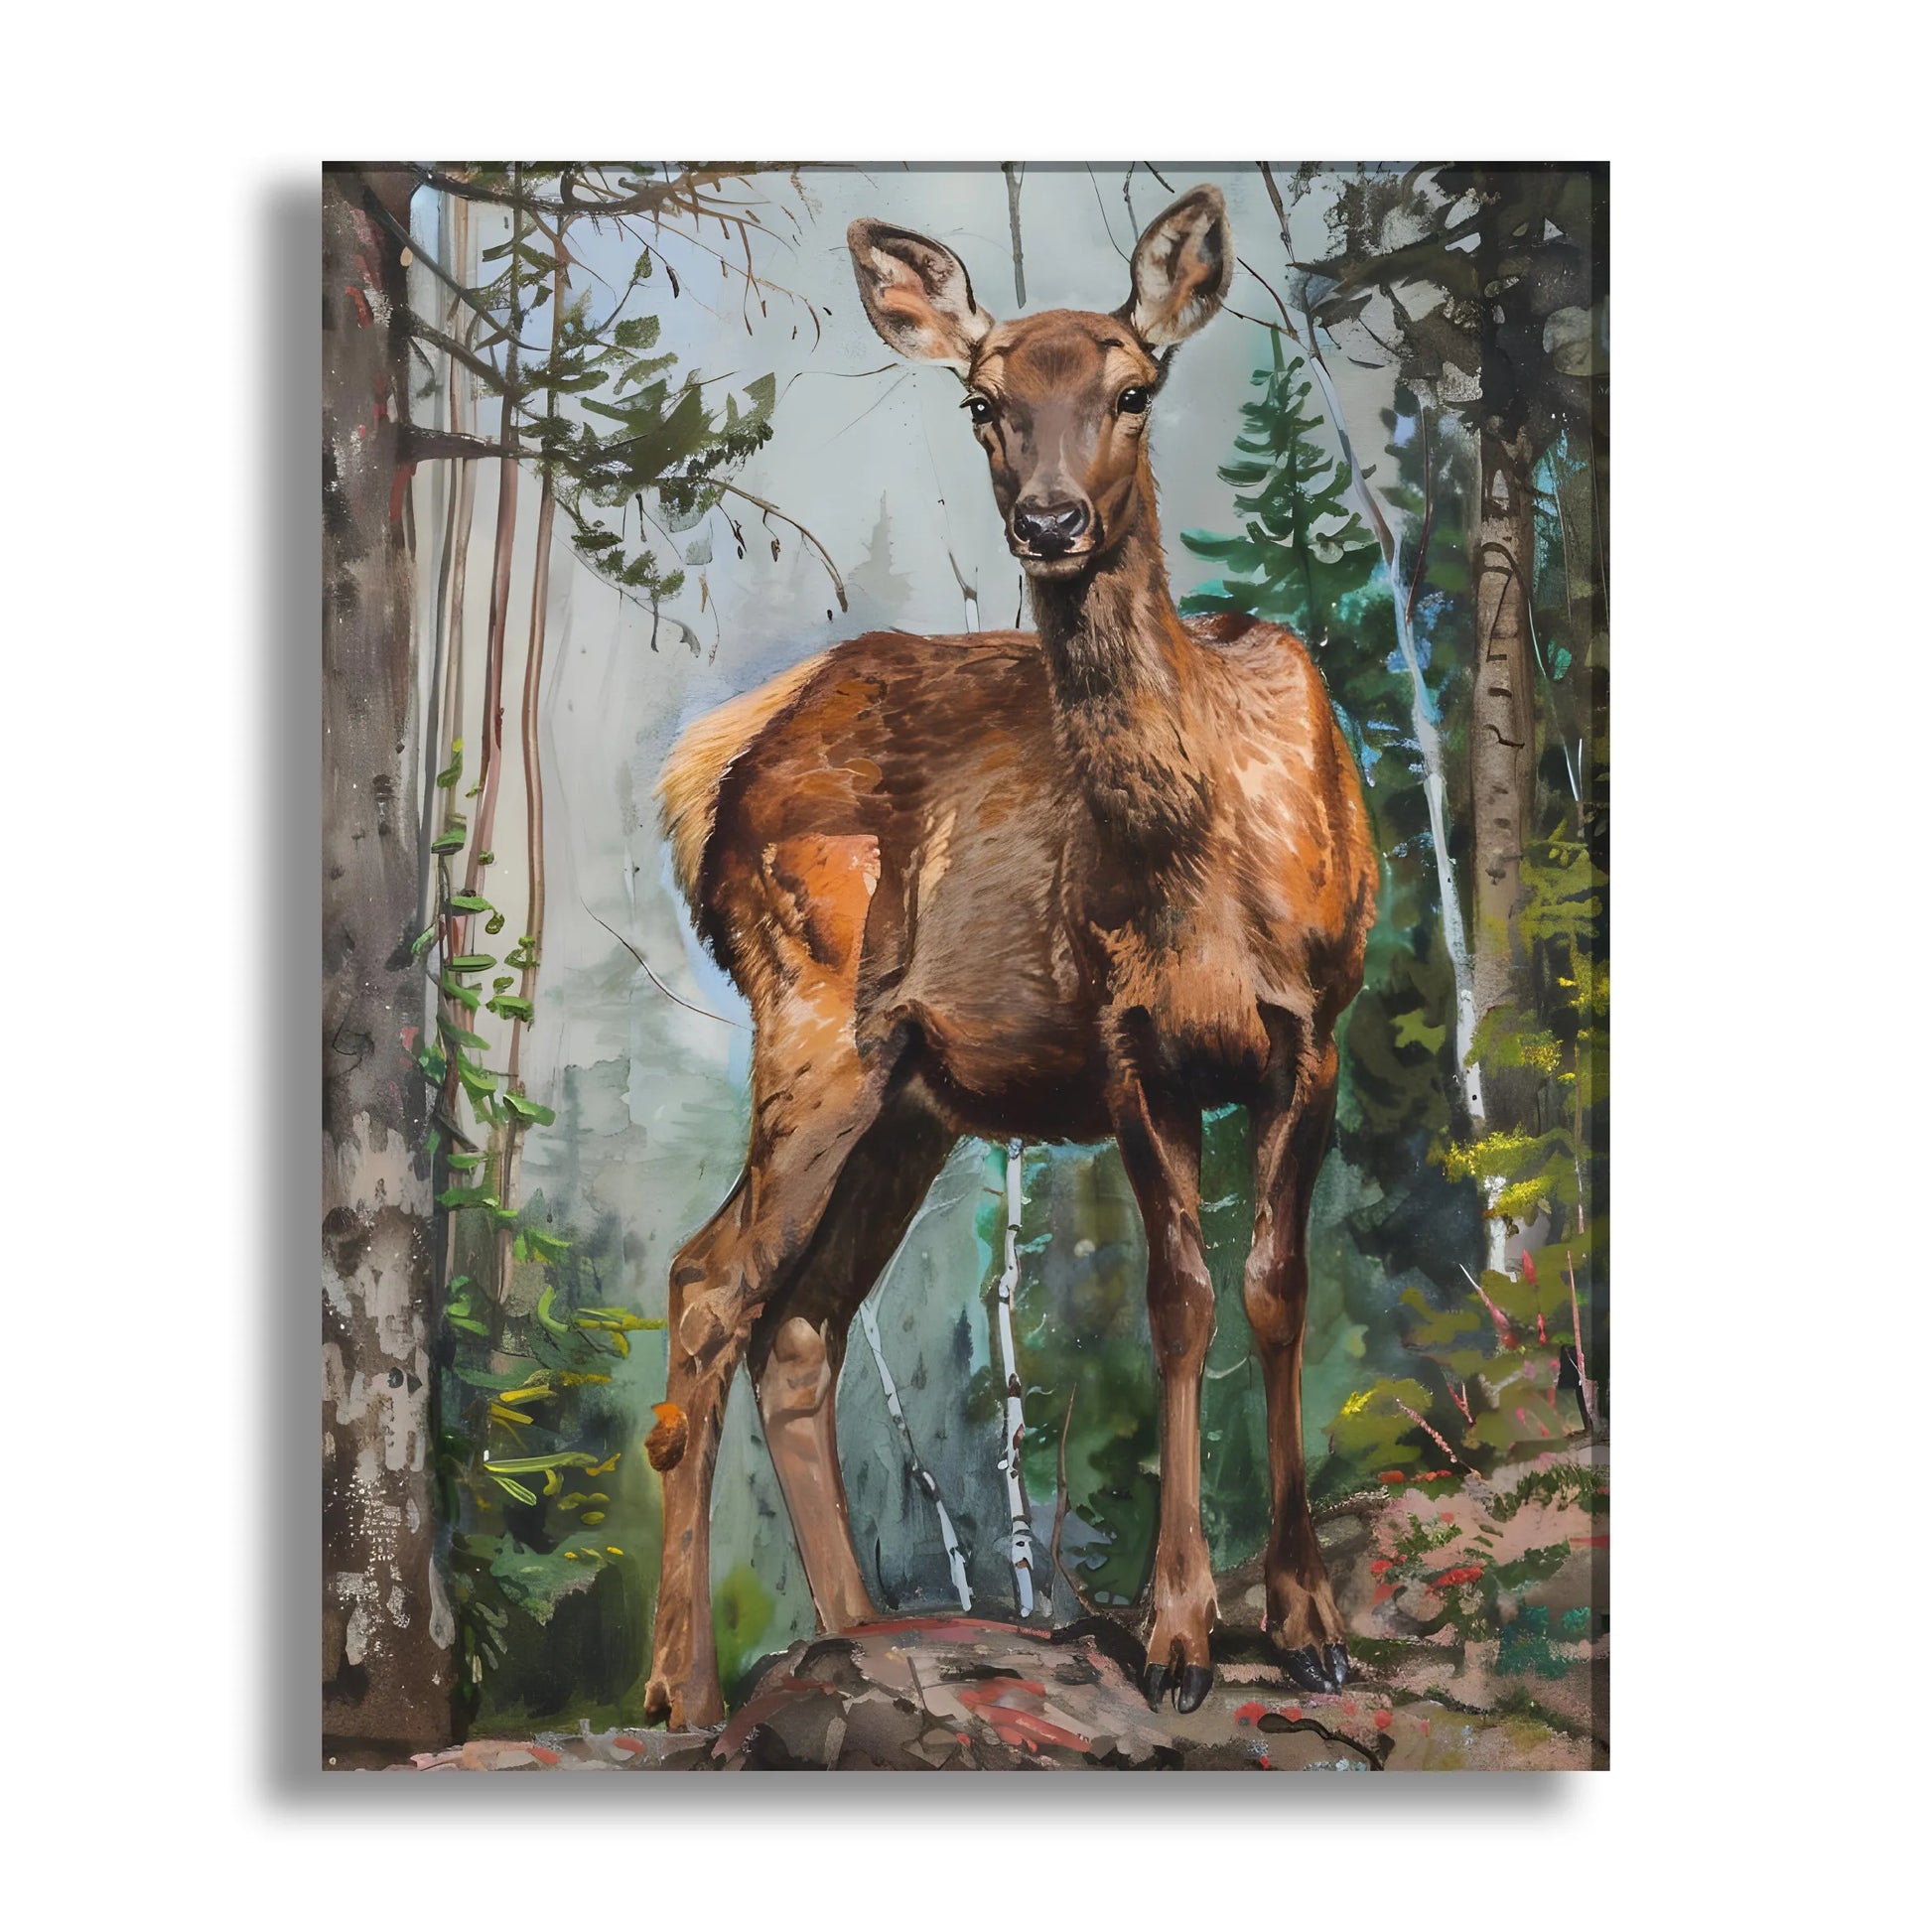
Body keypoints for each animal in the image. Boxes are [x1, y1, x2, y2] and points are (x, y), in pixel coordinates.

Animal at [641, 183, 1377, 1731]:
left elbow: (1276, 1291)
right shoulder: (1127, 1040)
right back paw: (680, 1684)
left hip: (912, 1098)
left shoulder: (1312, 1026)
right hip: (811, 1019)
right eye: (982, 401)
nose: (1048, 520)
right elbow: (1179, 1300)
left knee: (800, 1328)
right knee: (710, 1284)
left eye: (1133, 386)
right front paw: (1177, 1633)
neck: (1203, 864)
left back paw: (860, 1635)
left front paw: (1306, 1621)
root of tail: (713, 763)